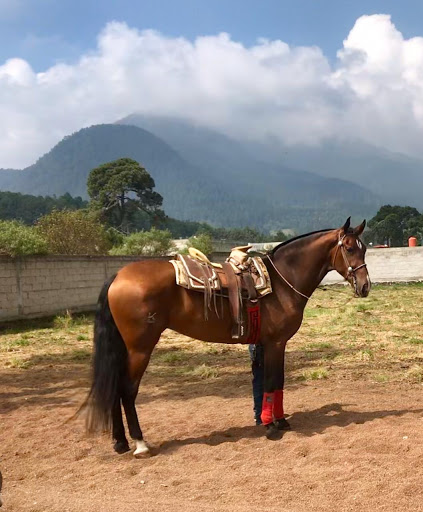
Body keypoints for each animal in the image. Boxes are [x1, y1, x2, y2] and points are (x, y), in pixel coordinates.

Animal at [83, 216, 372, 456]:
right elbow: (270, 382)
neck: (281, 281)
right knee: (127, 389)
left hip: (125, 348)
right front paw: (271, 426)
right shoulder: (275, 343)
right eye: (348, 248)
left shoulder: (273, 344)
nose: (365, 286)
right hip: (140, 349)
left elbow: (277, 382)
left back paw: (120, 442)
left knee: (115, 387)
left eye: (364, 248)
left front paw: (280, 420)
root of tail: (118, 276)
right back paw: (140, 443)